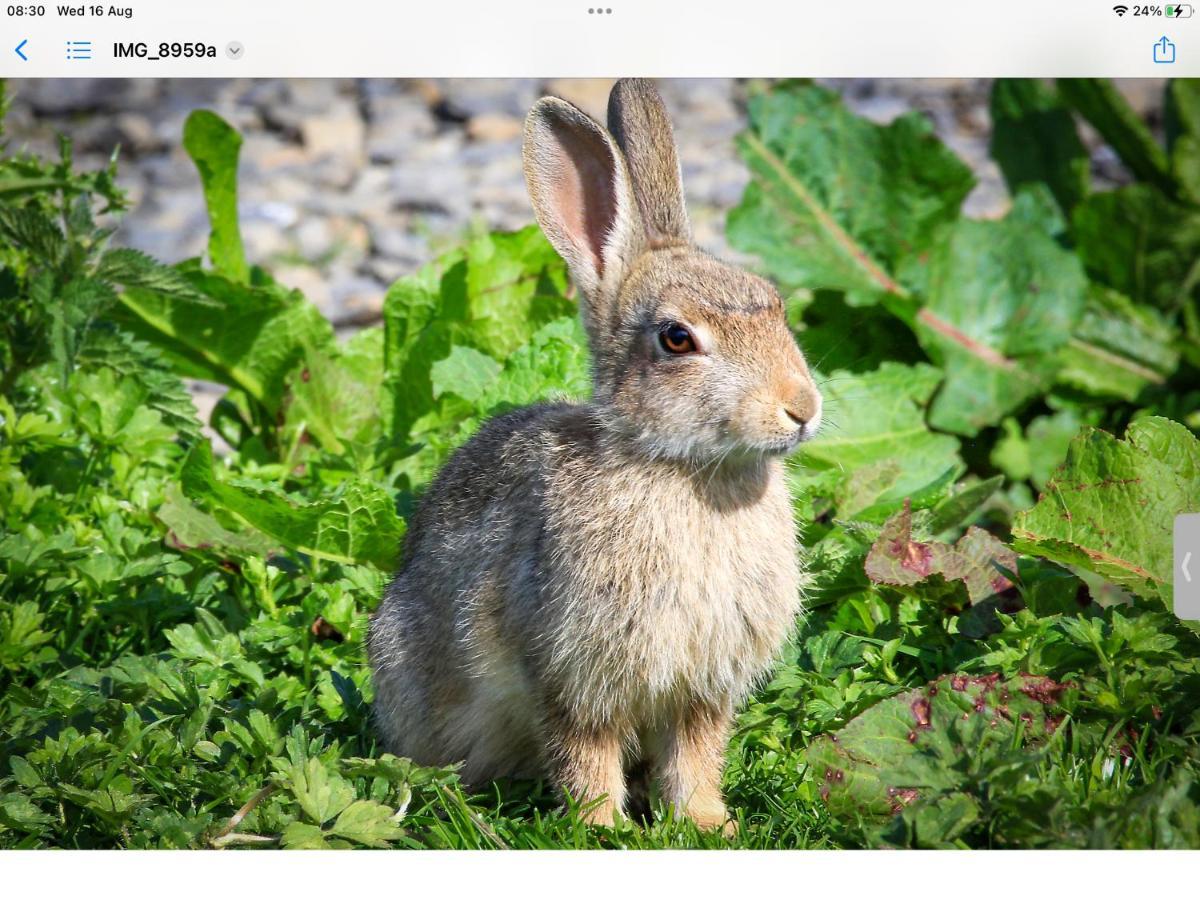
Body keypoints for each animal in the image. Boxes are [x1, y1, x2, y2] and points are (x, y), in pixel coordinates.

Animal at [369, 77, 820, 830]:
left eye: (775, 305)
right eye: (676, 338)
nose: (802, 409)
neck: (678, 468)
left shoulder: (702, 685)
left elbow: (695, 755)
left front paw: (708, 823)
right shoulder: (567, 669)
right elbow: (584, 752)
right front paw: (601, 828)